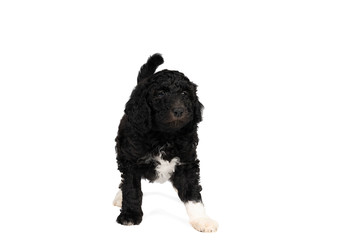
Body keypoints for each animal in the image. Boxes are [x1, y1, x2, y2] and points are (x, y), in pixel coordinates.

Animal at [114, 53, 218, 232]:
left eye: (184, 93)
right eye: (160, 94)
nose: (179, 111)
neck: (165, 136)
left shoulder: (187, 162)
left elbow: (193, 192)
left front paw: (201, 219)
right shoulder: (131, 161)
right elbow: (132, 189)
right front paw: (130, 215)